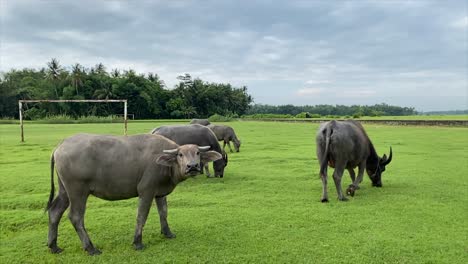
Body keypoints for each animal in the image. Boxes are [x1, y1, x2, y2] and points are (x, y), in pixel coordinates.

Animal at [46, 133, 222, 255]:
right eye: (180, 154)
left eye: (197, 153)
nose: (192, 167)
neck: (165, 164)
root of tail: (60, 146)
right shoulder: (146, 190)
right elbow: (141, 216)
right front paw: (137, 242)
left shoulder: (160, 193)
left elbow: (163, 212)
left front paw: (167, 233)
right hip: (78, 191)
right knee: (75, 217)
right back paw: (90, 248)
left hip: (64, 190)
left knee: (54, 212)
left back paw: (53, 246)